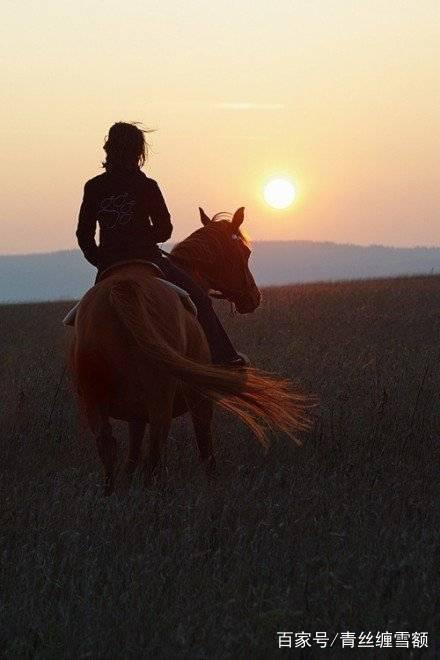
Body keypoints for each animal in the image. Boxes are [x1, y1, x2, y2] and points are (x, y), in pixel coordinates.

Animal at [70, 209, 312, 492]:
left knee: (108, 446)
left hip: (94, 402)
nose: (253, 298)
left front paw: (128, 486)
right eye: (245, 252)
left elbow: (132, 454)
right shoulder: (201, 399)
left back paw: (111, 494)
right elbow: (205, 448)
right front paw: (213, 485)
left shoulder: (135, 415)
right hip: (160, 398)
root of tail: (124, 287)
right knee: (156, 451)